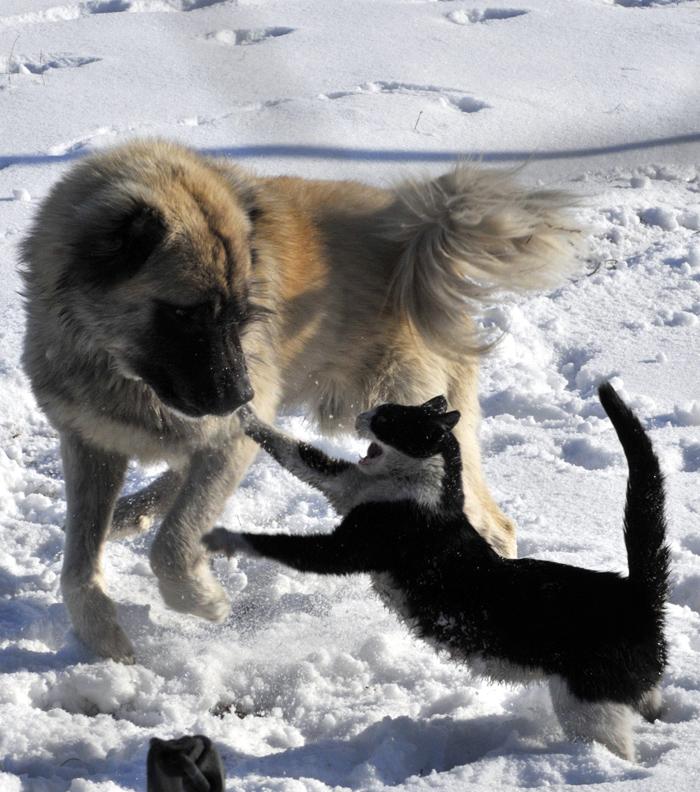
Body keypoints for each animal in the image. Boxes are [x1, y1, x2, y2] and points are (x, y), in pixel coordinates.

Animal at [202, 386, 668, 760]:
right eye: (380, 409)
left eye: (387, 419)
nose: (360, 416)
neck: (422, 487)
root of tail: (637, 592)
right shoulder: (344, 487)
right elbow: (296, 451)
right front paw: (243, 414)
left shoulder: (350, 548)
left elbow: (282, 544)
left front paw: (221, 537)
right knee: (649, 705)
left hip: (586, 705)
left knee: (614, 749)